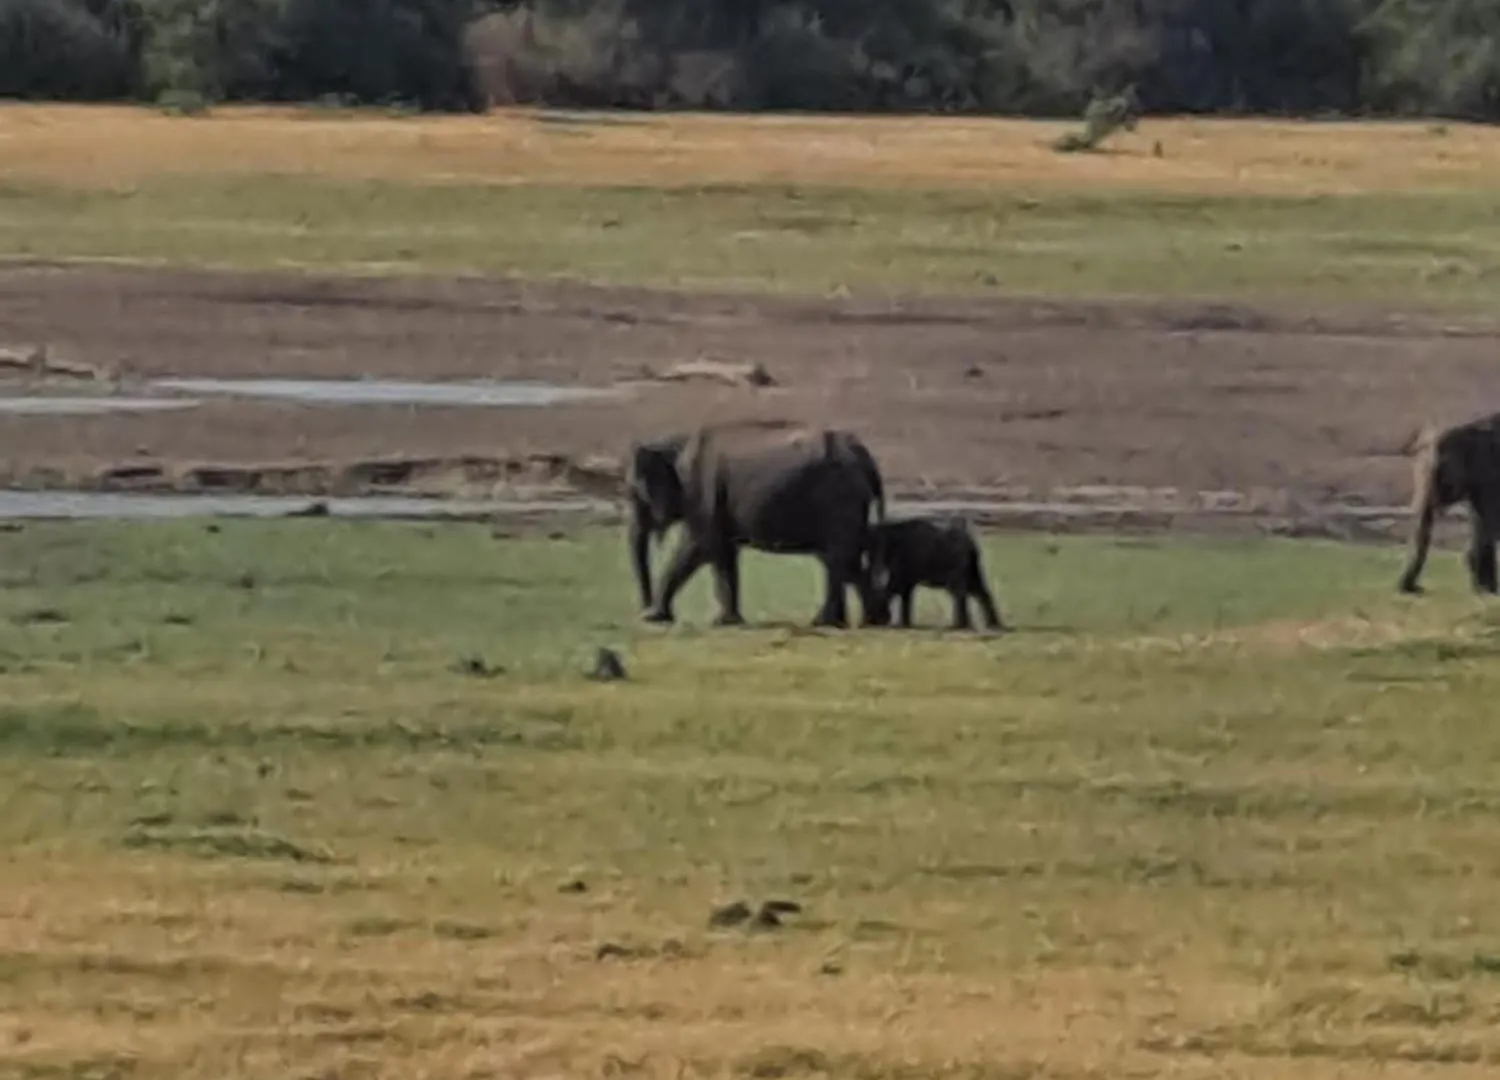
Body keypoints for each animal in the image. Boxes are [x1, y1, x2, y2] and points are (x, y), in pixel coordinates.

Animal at [624, 420, 882, 630]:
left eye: (633, 494)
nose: (643, 611)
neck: (675, 443)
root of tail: (864, 454)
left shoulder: (703, 496)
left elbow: (700, 547)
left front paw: (658, 617)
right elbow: (724, 552)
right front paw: (729, 621)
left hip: (839, 500)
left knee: (839, 557)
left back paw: (826, 623)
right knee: (845, 560)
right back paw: (867, 621)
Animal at [1392, 414, 1500, 600]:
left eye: (1441, 467)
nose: (1416, 589)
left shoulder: (1490, 475)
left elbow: (1488, 523)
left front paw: (1488, 592)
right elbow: (1479, 520)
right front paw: (1485, 590)